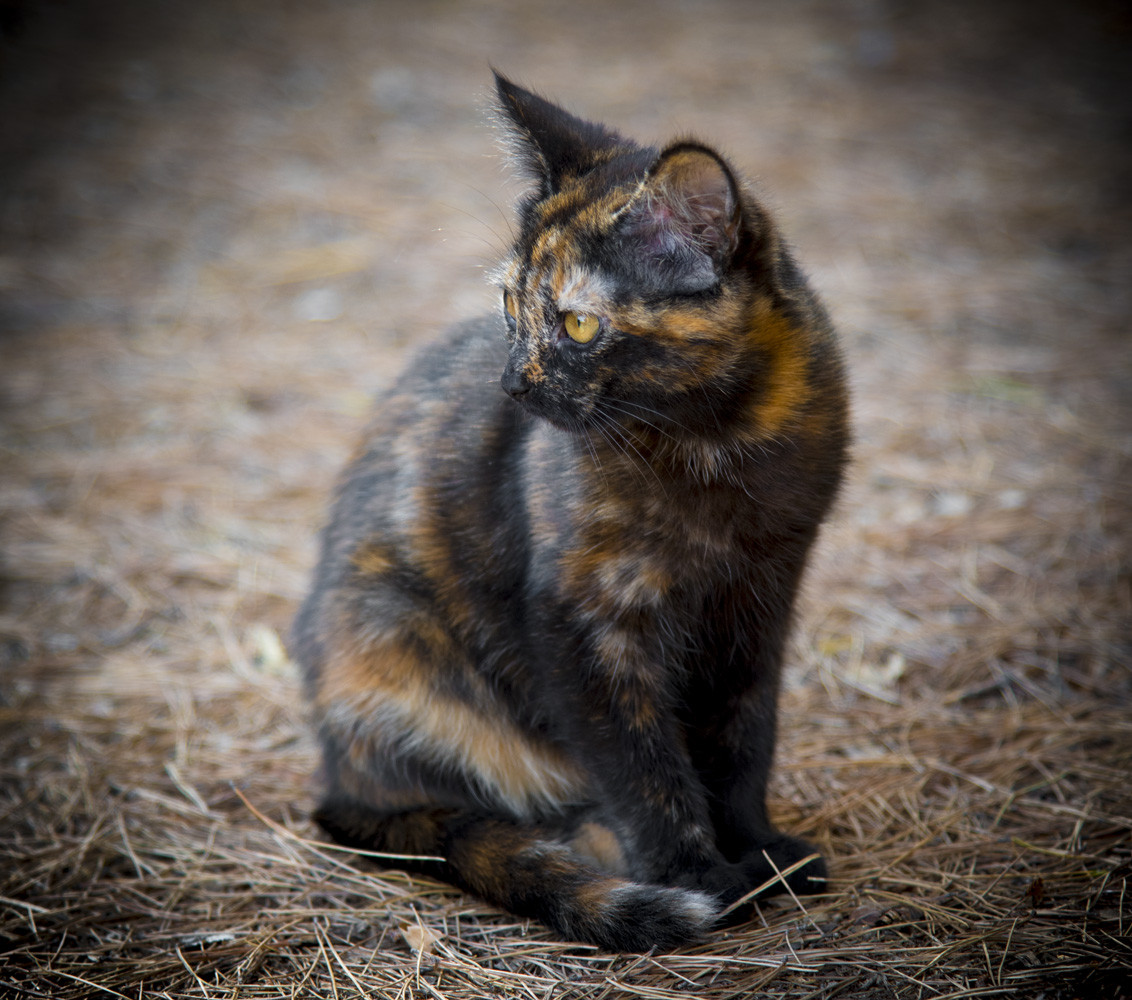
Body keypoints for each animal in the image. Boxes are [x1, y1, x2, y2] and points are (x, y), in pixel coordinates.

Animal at [292, 72, 851, 955]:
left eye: (579, 323)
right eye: (509, 305)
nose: (512, 386)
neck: (714, 447)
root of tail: (334, 775)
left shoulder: (758, 602)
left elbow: (742, 740)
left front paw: (761, 849)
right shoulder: (583, 621)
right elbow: (643, 766)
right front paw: (701, 878)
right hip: (393, 646)